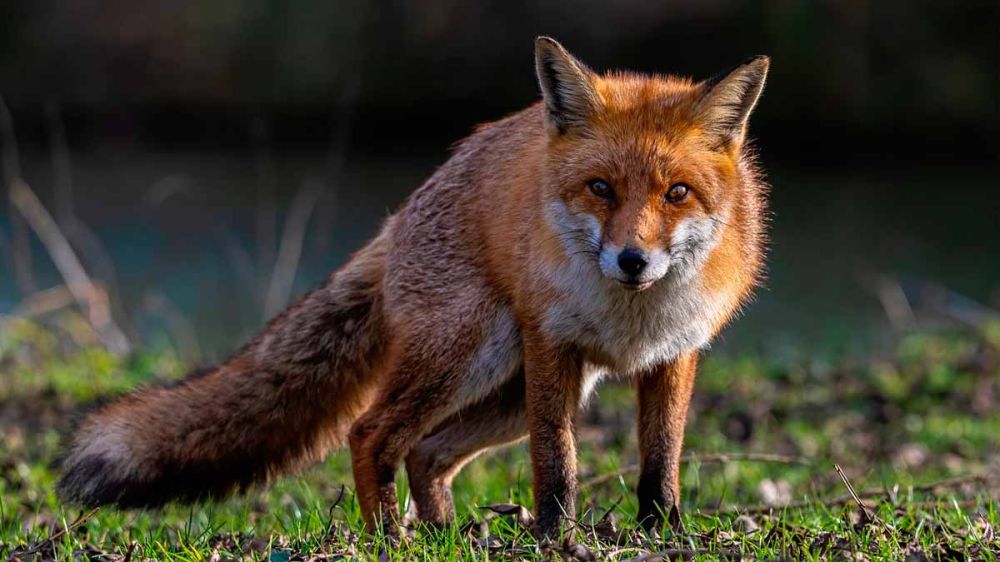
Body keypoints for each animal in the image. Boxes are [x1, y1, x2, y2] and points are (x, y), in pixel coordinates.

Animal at [56, 37, 772, 536]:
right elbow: (557, 461)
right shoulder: (551, 346)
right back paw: (389, 537)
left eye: (676, 193)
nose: (632, 260)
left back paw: (445, 533)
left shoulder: (675, 355)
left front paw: (663, 531)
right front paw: (555, 535)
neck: (631, 318)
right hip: (474, 357)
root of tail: (399, 216)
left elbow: (660, 461)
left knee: (426, 451)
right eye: (600, 188)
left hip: (508, 391)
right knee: (372, 433)